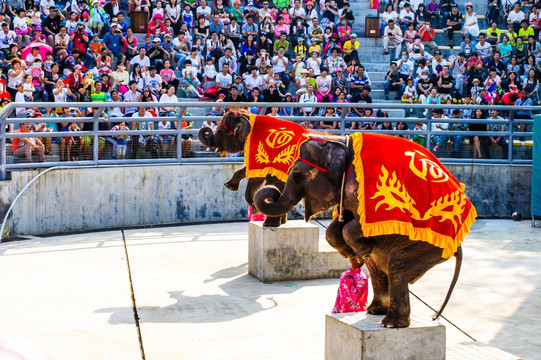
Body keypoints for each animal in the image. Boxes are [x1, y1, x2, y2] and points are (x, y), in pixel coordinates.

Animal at [254, 133, 476, 330]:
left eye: (297, 174)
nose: (272, 191)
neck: (339, 142)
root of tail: (457, 245)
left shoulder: (367, 188)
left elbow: (359, 222)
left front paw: (359, 250)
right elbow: (339, 224)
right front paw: (351, 253)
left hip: (426, 244)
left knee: (396, 268)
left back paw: (390, 323)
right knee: (377, 269)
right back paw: (374, 310)